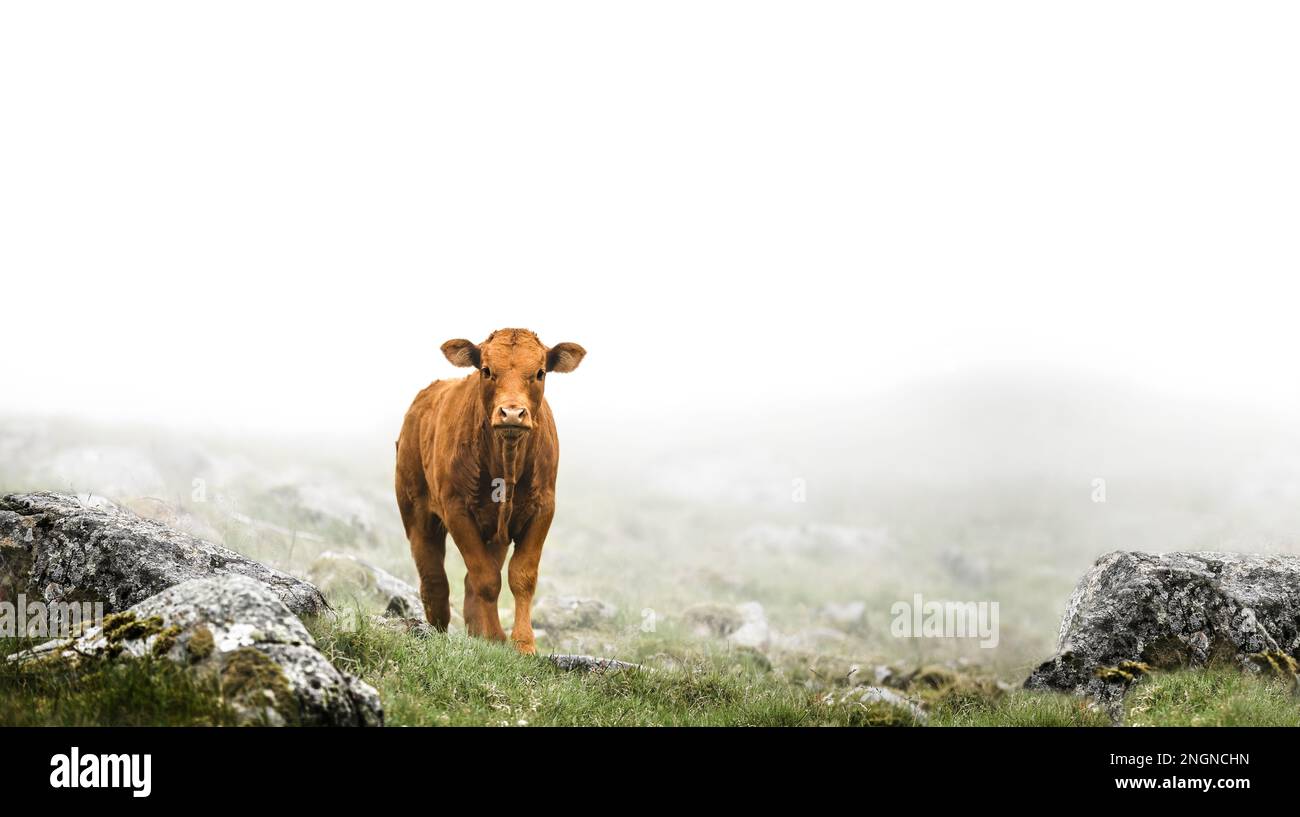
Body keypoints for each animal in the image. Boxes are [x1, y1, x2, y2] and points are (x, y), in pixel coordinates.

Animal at [390, 329, 585, 653]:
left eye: (540, 373)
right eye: (486, 370)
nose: (512, 413)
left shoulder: (543, 509)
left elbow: (521, 576)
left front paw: (522, 643)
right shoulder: (456, 509)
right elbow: (486, 579)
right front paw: (494, 636)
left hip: (495, 534)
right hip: (416, 511)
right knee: (434, 577)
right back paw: (438, 628)